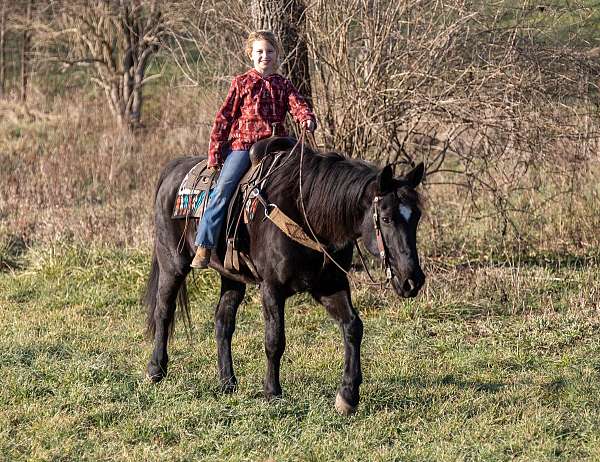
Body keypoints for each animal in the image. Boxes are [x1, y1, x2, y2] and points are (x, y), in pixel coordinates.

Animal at [144, 143, 426, 412]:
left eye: (417, 217)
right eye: (386, 218)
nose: (412, 281)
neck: (307, 211)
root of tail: (175, 168)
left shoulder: (330, 285)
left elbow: (353, 326)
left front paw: (348, 395)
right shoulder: (271, 288)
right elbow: (275, 340)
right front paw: (272, 392)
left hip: (232, 277)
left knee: (223, 321)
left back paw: (228, 382)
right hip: (172, 264)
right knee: (164, 311)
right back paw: (156, 370)